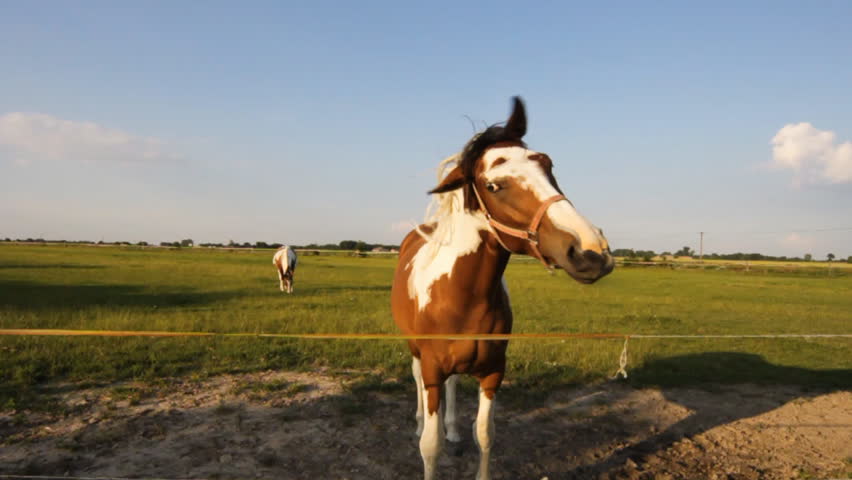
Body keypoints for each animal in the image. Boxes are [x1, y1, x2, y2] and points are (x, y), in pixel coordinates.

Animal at [390, 97, 614, 479]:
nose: (591, 252)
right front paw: (427, 433)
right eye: (494, 186)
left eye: (548, 165)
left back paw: (452, 429)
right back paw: (420, 422)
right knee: (418, 379)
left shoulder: (494, 371)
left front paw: (459, 434)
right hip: (416, 351)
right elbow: (430, 447)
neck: (462, 297)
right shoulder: (433, 367)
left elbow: (485, 435)